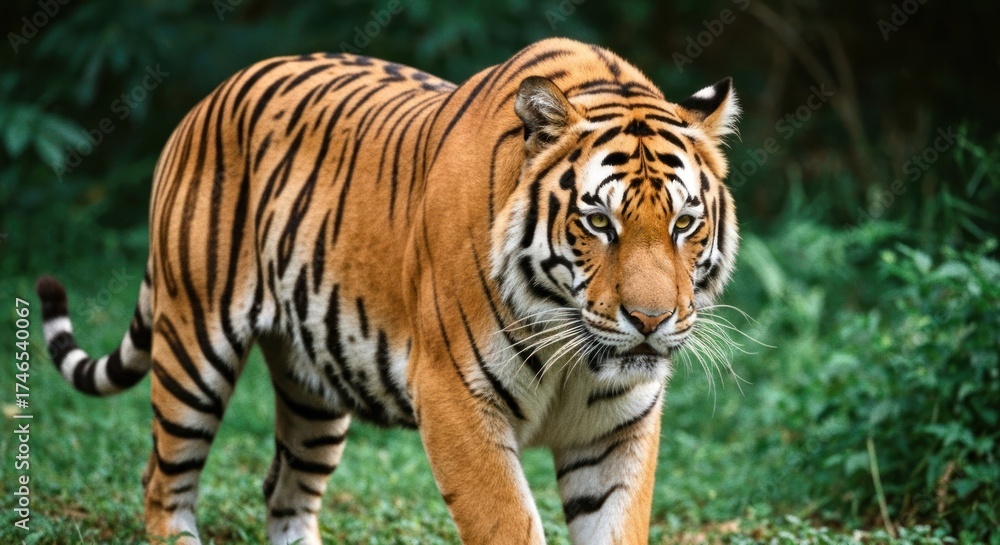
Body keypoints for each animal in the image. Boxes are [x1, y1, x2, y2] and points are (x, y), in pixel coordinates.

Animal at [35, 37, 739, 544]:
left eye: (683, 223)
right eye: (599, 223)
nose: (650, 320)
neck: (572, 347)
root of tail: (208, 98)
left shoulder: (619, 428)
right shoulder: (457, 399)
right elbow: (508, 523)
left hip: (314, 388)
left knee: (284, 493)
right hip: (192, 345)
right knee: (163, 481)